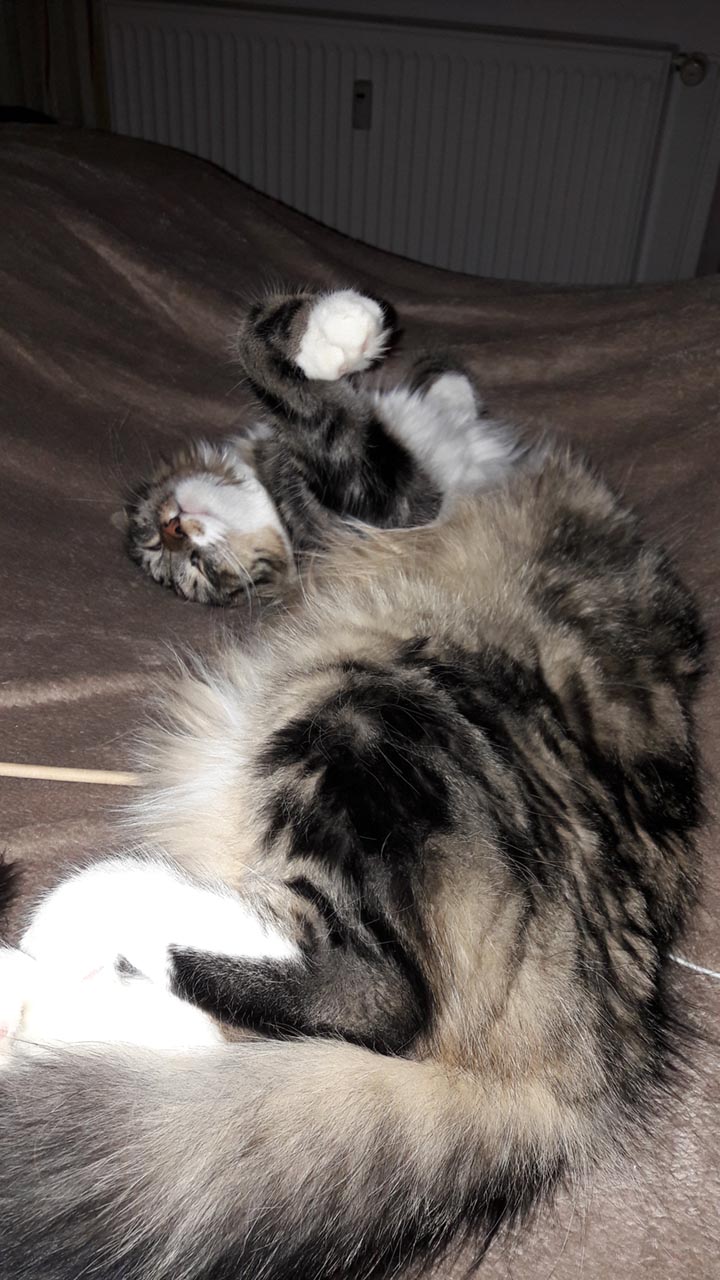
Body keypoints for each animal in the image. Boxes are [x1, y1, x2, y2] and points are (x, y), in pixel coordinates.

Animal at [0, 288, 705, 1280]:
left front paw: (397, 364)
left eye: (174, 554)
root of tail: (590, 1068)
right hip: (371, 709)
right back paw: (80, 918)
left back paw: (32, 1003)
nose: (176, 529)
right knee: (372, 990)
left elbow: (401, 397)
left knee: (232, 1028)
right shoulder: (388, 492)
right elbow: (291, 381)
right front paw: (337, 332)